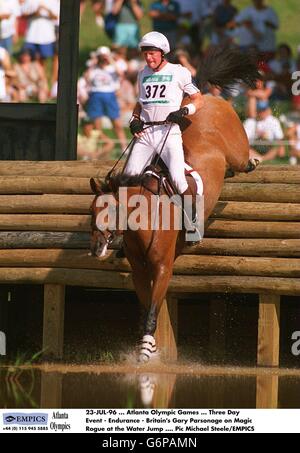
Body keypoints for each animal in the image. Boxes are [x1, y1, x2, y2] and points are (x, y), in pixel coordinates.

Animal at [88, 46, 260, 360]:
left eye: (114, 210)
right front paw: (148, 345)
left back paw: (253, 161)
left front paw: (146, 351)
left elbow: (153, 310)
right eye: (91, 211)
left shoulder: (162, 268)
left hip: (237, 149)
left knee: (243, 161)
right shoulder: (139, 271)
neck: (143, 224)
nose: (96, 248)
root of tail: (207, 99)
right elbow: (146, 308)